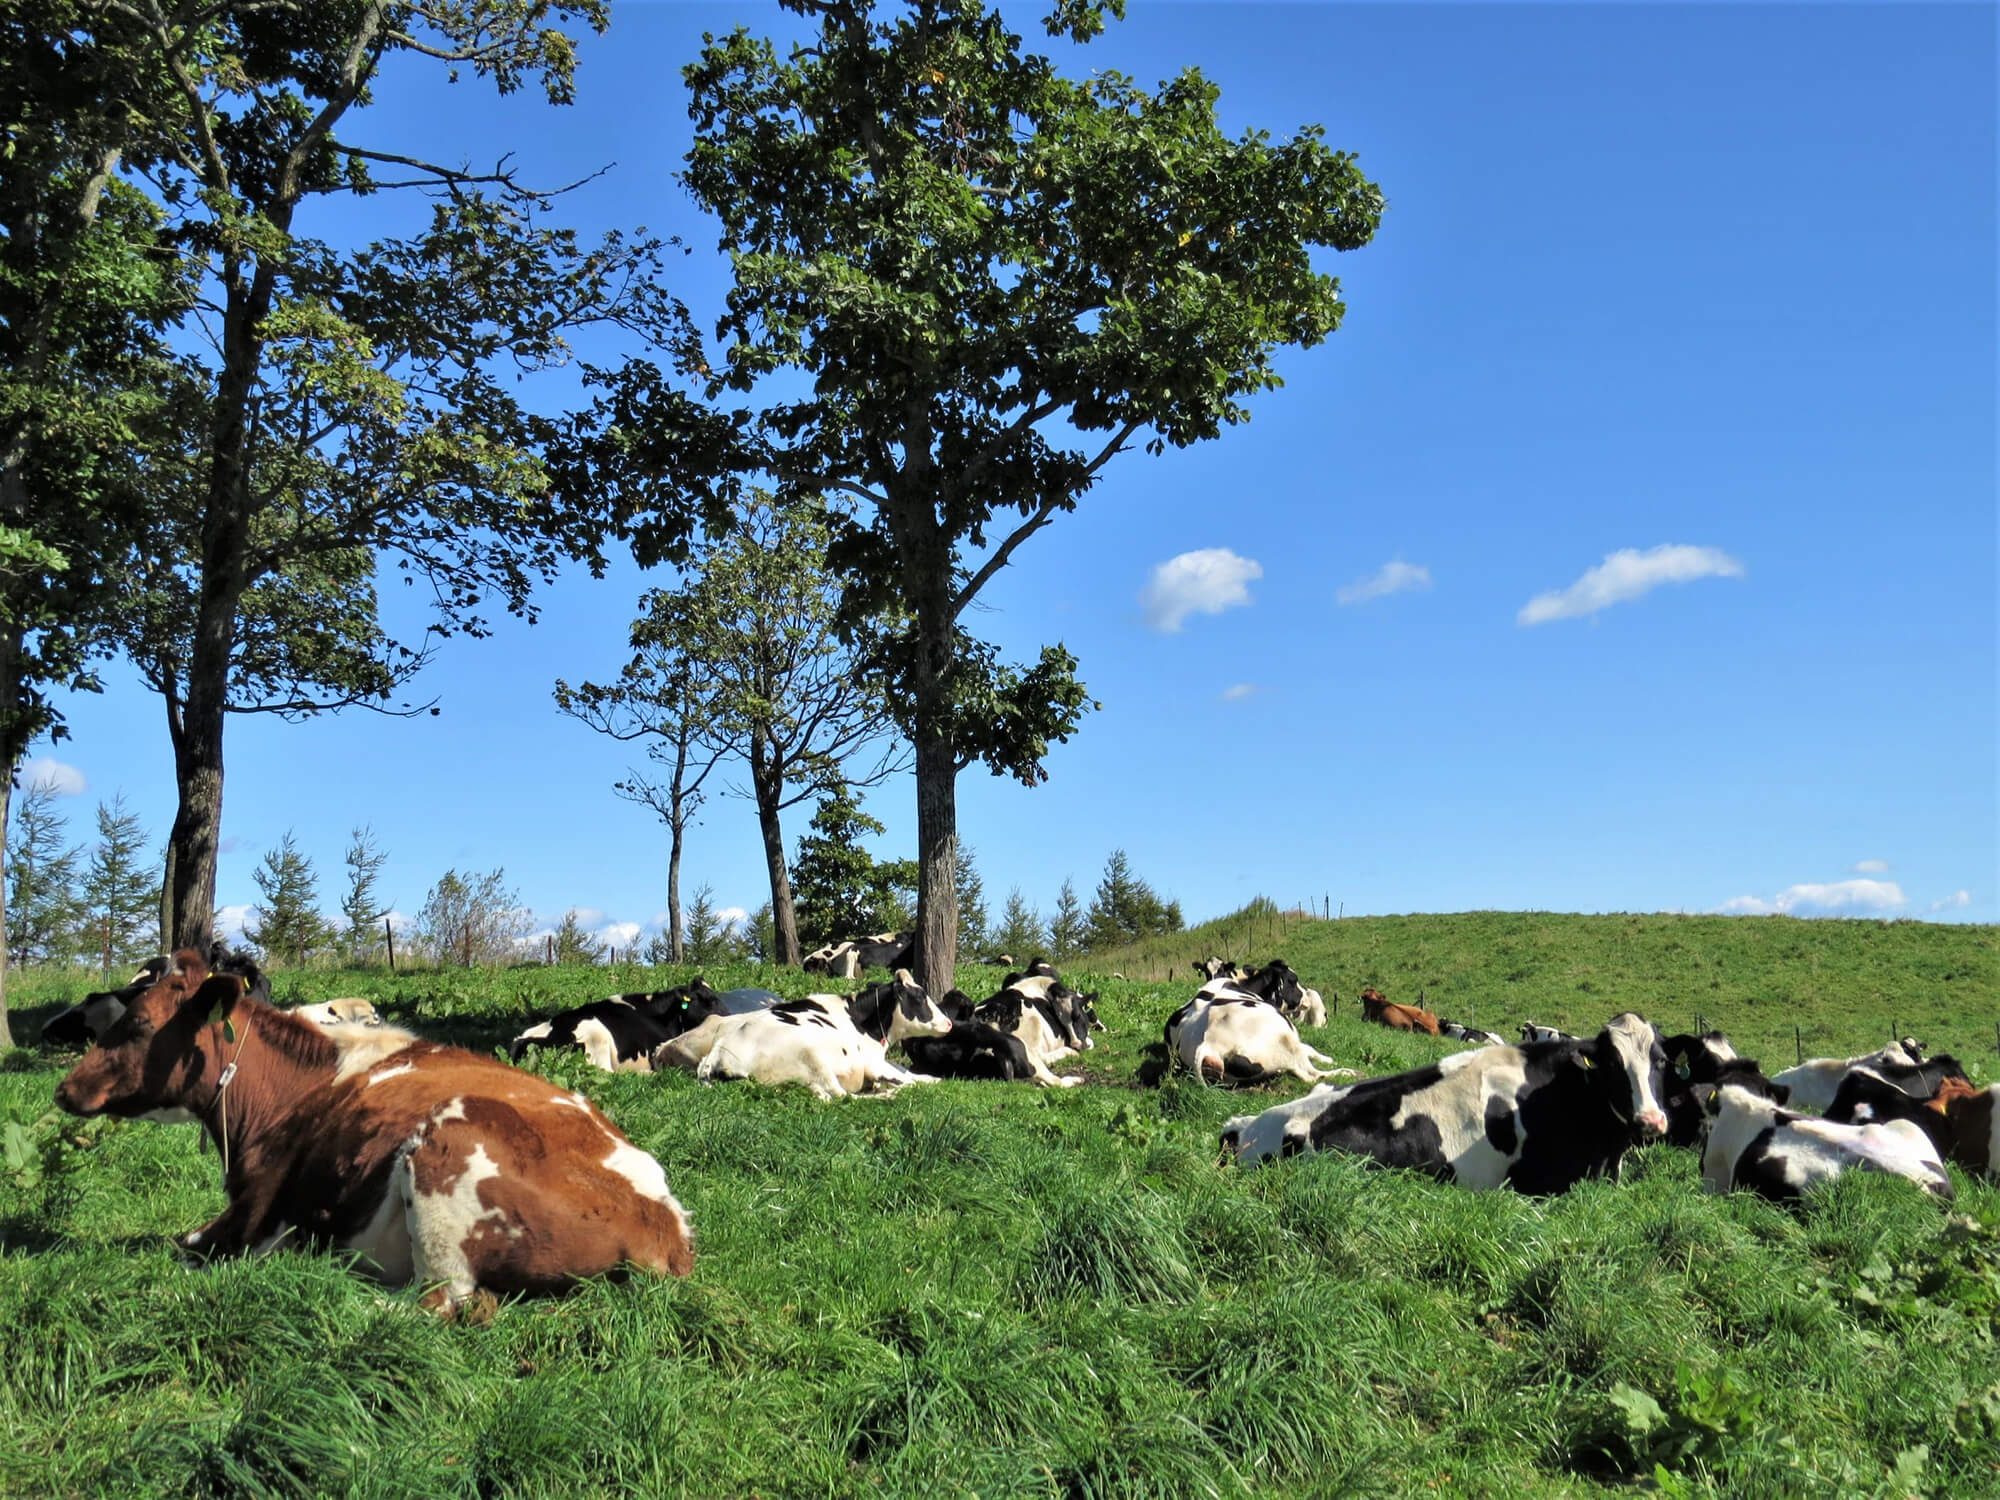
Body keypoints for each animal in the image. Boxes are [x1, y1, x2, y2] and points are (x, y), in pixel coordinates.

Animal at [50, 956, 692, 1320]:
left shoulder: (251, 1210)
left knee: (436, 1306)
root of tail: (668, 1231)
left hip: (445, 1158)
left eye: (136, 1024)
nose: (64, 1089)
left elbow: (180, 1250)